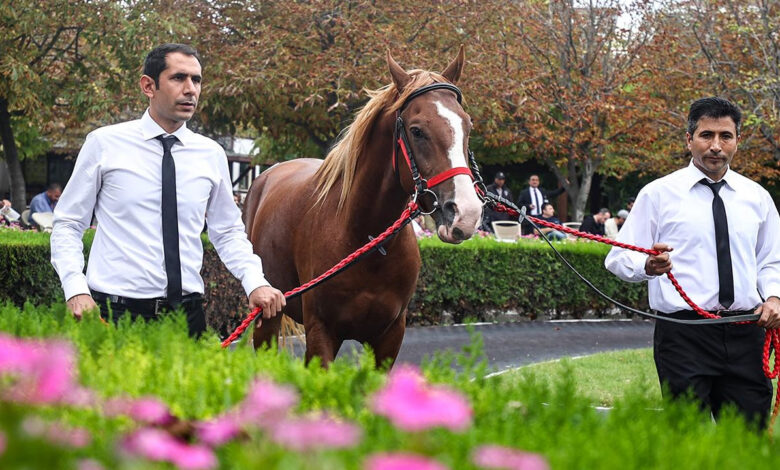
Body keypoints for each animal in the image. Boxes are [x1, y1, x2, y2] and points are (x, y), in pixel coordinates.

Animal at [244, 48, 482, 370]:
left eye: (467, 126)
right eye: (417, 131)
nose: (466, 213)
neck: (366, 240)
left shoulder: (390, 337)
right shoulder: (321, 333)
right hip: (267, 315)